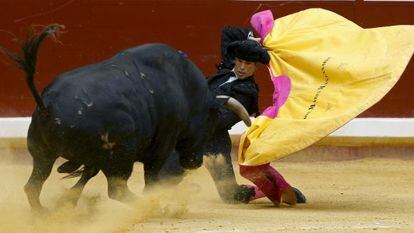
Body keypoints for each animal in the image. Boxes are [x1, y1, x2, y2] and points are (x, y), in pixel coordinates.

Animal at [0, 24, 249, 210]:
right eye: (210, 123)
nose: (193, 162)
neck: (186, 88)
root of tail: (47, 106)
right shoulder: (163, 142)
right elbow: (151, 176)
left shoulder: (99, 156)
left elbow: (89, 172)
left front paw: (67, 201)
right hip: (120, 156)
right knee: (117, 190)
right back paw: (152, 207)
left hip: (43, 155)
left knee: (33, 186)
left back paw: (44, 213)